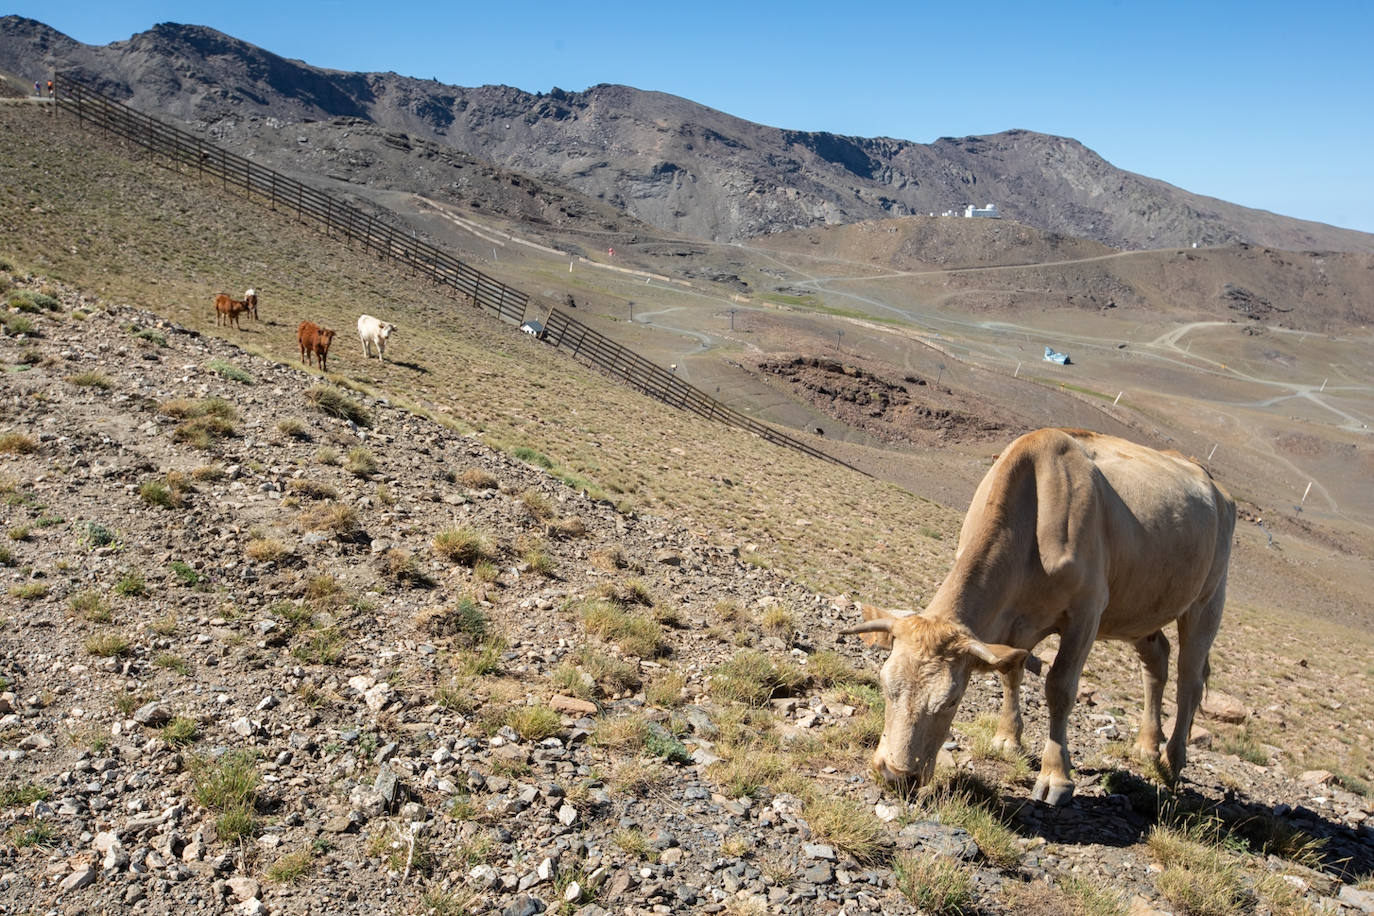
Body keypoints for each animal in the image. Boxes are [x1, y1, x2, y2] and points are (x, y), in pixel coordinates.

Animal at [840, 425, 1242, 807]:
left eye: (952, 701)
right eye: (885, 684)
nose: (895, 773)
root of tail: (1215, 485)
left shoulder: (1086, 612)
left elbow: (1060, 687)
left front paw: (1055, 777)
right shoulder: (1016, 624)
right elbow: (1010, 671)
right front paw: (1007, 739)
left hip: (1207, 599)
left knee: (1189, 678)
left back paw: (1172, 761)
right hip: (1142, 607)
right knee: (1156, 662)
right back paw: (1146, 746)